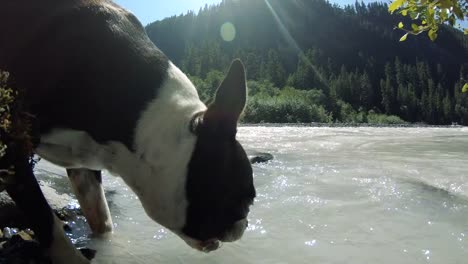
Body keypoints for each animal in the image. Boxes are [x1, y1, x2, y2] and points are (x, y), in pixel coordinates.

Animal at [0, 1, 256, 262]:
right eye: (244, 199)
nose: (244, 224)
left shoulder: (83, 166)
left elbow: (101, 219)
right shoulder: (11, 145)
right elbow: (44, 218)